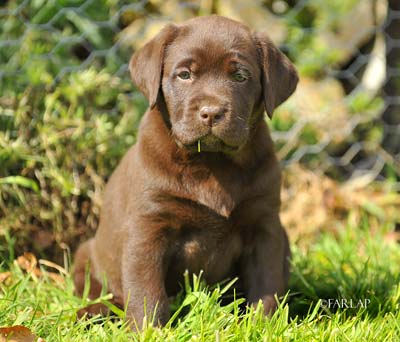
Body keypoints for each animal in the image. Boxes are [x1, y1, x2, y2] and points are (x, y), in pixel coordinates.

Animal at [73, 14, 296, 328]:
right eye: (184, 75)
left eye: (240, 76)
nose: (212, 112)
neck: (212, 161)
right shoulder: (148, 226)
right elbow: (146, 290)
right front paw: (148, 330)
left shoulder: (265, 225)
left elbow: (266, 282)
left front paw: (263, 326)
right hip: (86, 255)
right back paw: (94, 313)